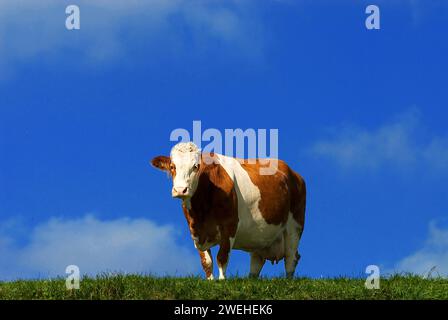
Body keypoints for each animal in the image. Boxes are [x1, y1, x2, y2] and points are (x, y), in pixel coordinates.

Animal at [150, 141, 304, 278]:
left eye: (196, 166)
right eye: (172, 166)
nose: (180, 190)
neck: (201, 211)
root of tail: (293, 173)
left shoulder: (229, 225)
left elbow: (222, 258)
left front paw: (221, 282)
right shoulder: (195, 231)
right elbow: (206, 262)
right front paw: (211, 282)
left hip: (295, 225)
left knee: (291, 258)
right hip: (259, 236)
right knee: (257, 261)